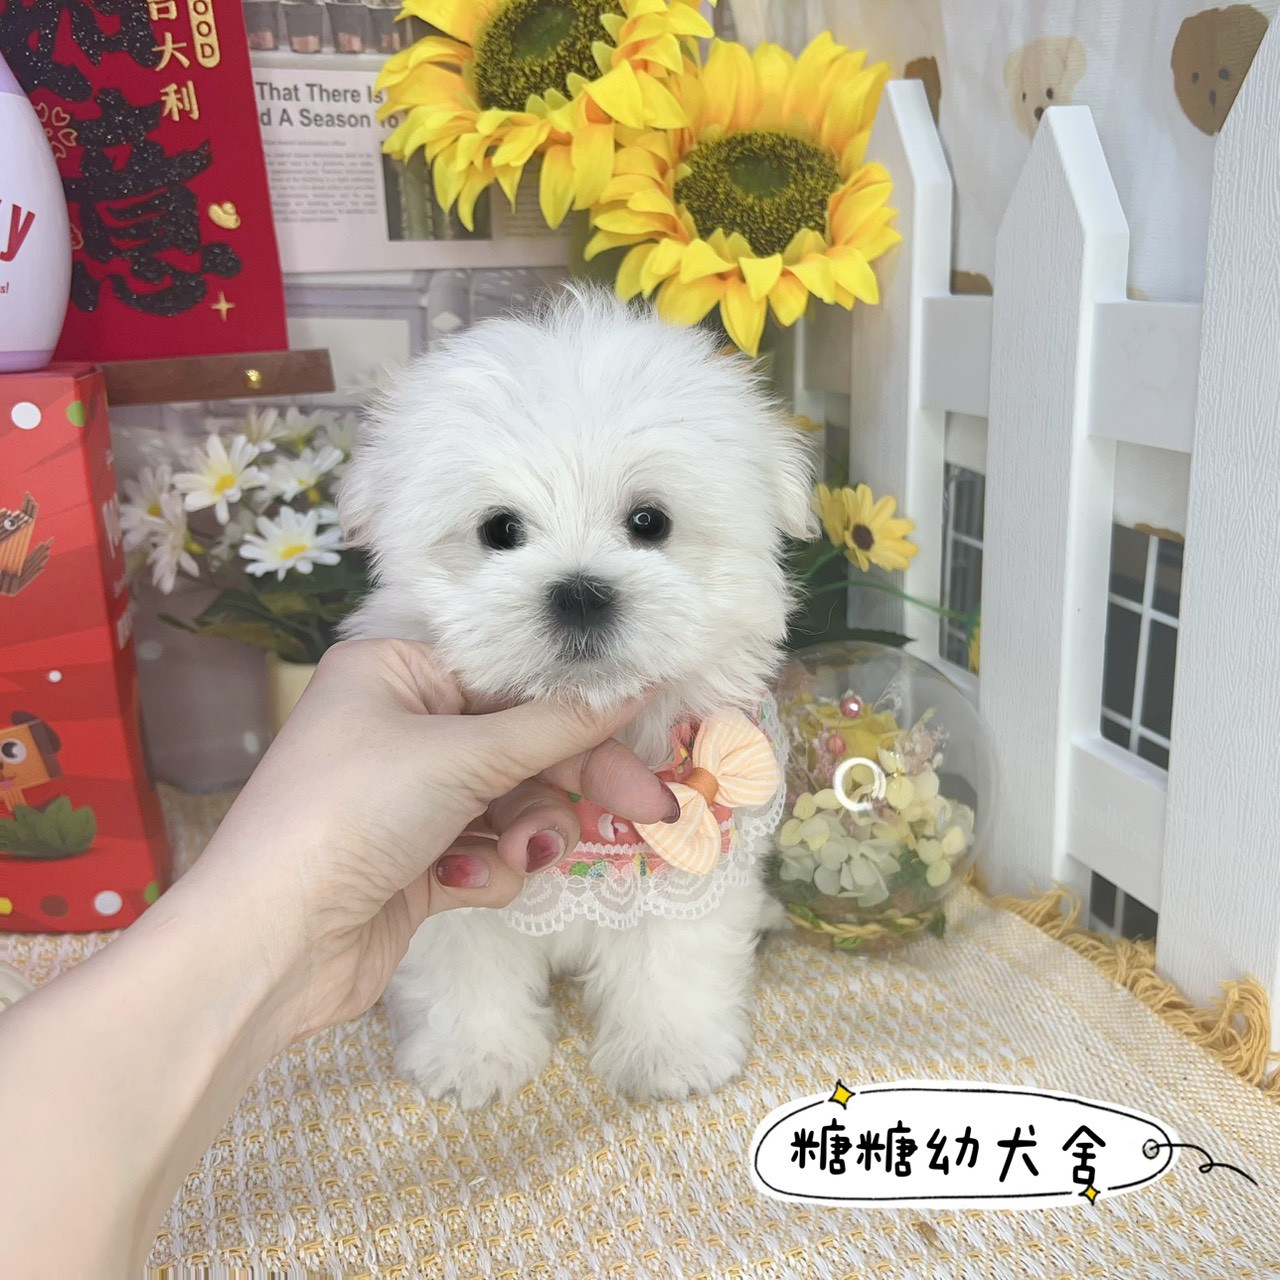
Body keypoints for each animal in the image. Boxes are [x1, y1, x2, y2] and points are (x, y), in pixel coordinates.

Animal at [339, 287, 814, 1105]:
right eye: (499, 530)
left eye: (649, 521)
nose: (581, 593)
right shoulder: (452, 883)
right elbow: (465, 967)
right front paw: (475, 1058)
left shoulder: (687, 875)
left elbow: (672, 962)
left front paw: (671, 1054)